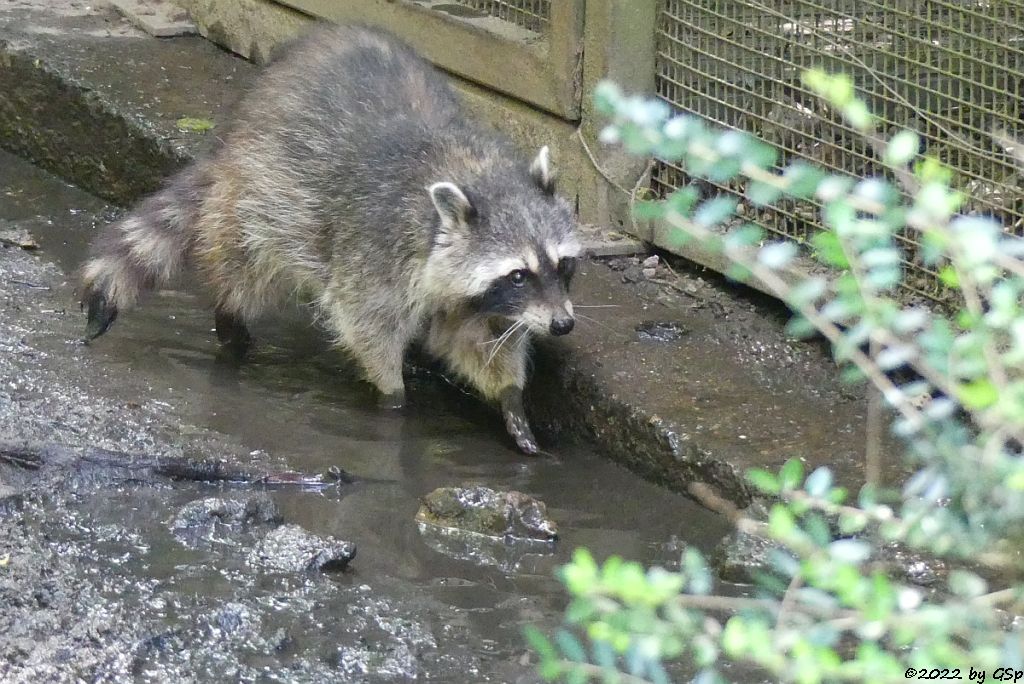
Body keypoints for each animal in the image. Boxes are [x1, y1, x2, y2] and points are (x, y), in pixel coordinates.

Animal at [81, 24, 577, 454]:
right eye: (518, 274)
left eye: (562, 265)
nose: (563, 325)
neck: (477, 172)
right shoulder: (377, 246)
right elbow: (367, 324)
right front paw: (392, 393)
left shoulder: (476, 296)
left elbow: (480, 341)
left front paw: (510, 398)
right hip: (266, 190)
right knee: (246, 258)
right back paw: (231, 317)